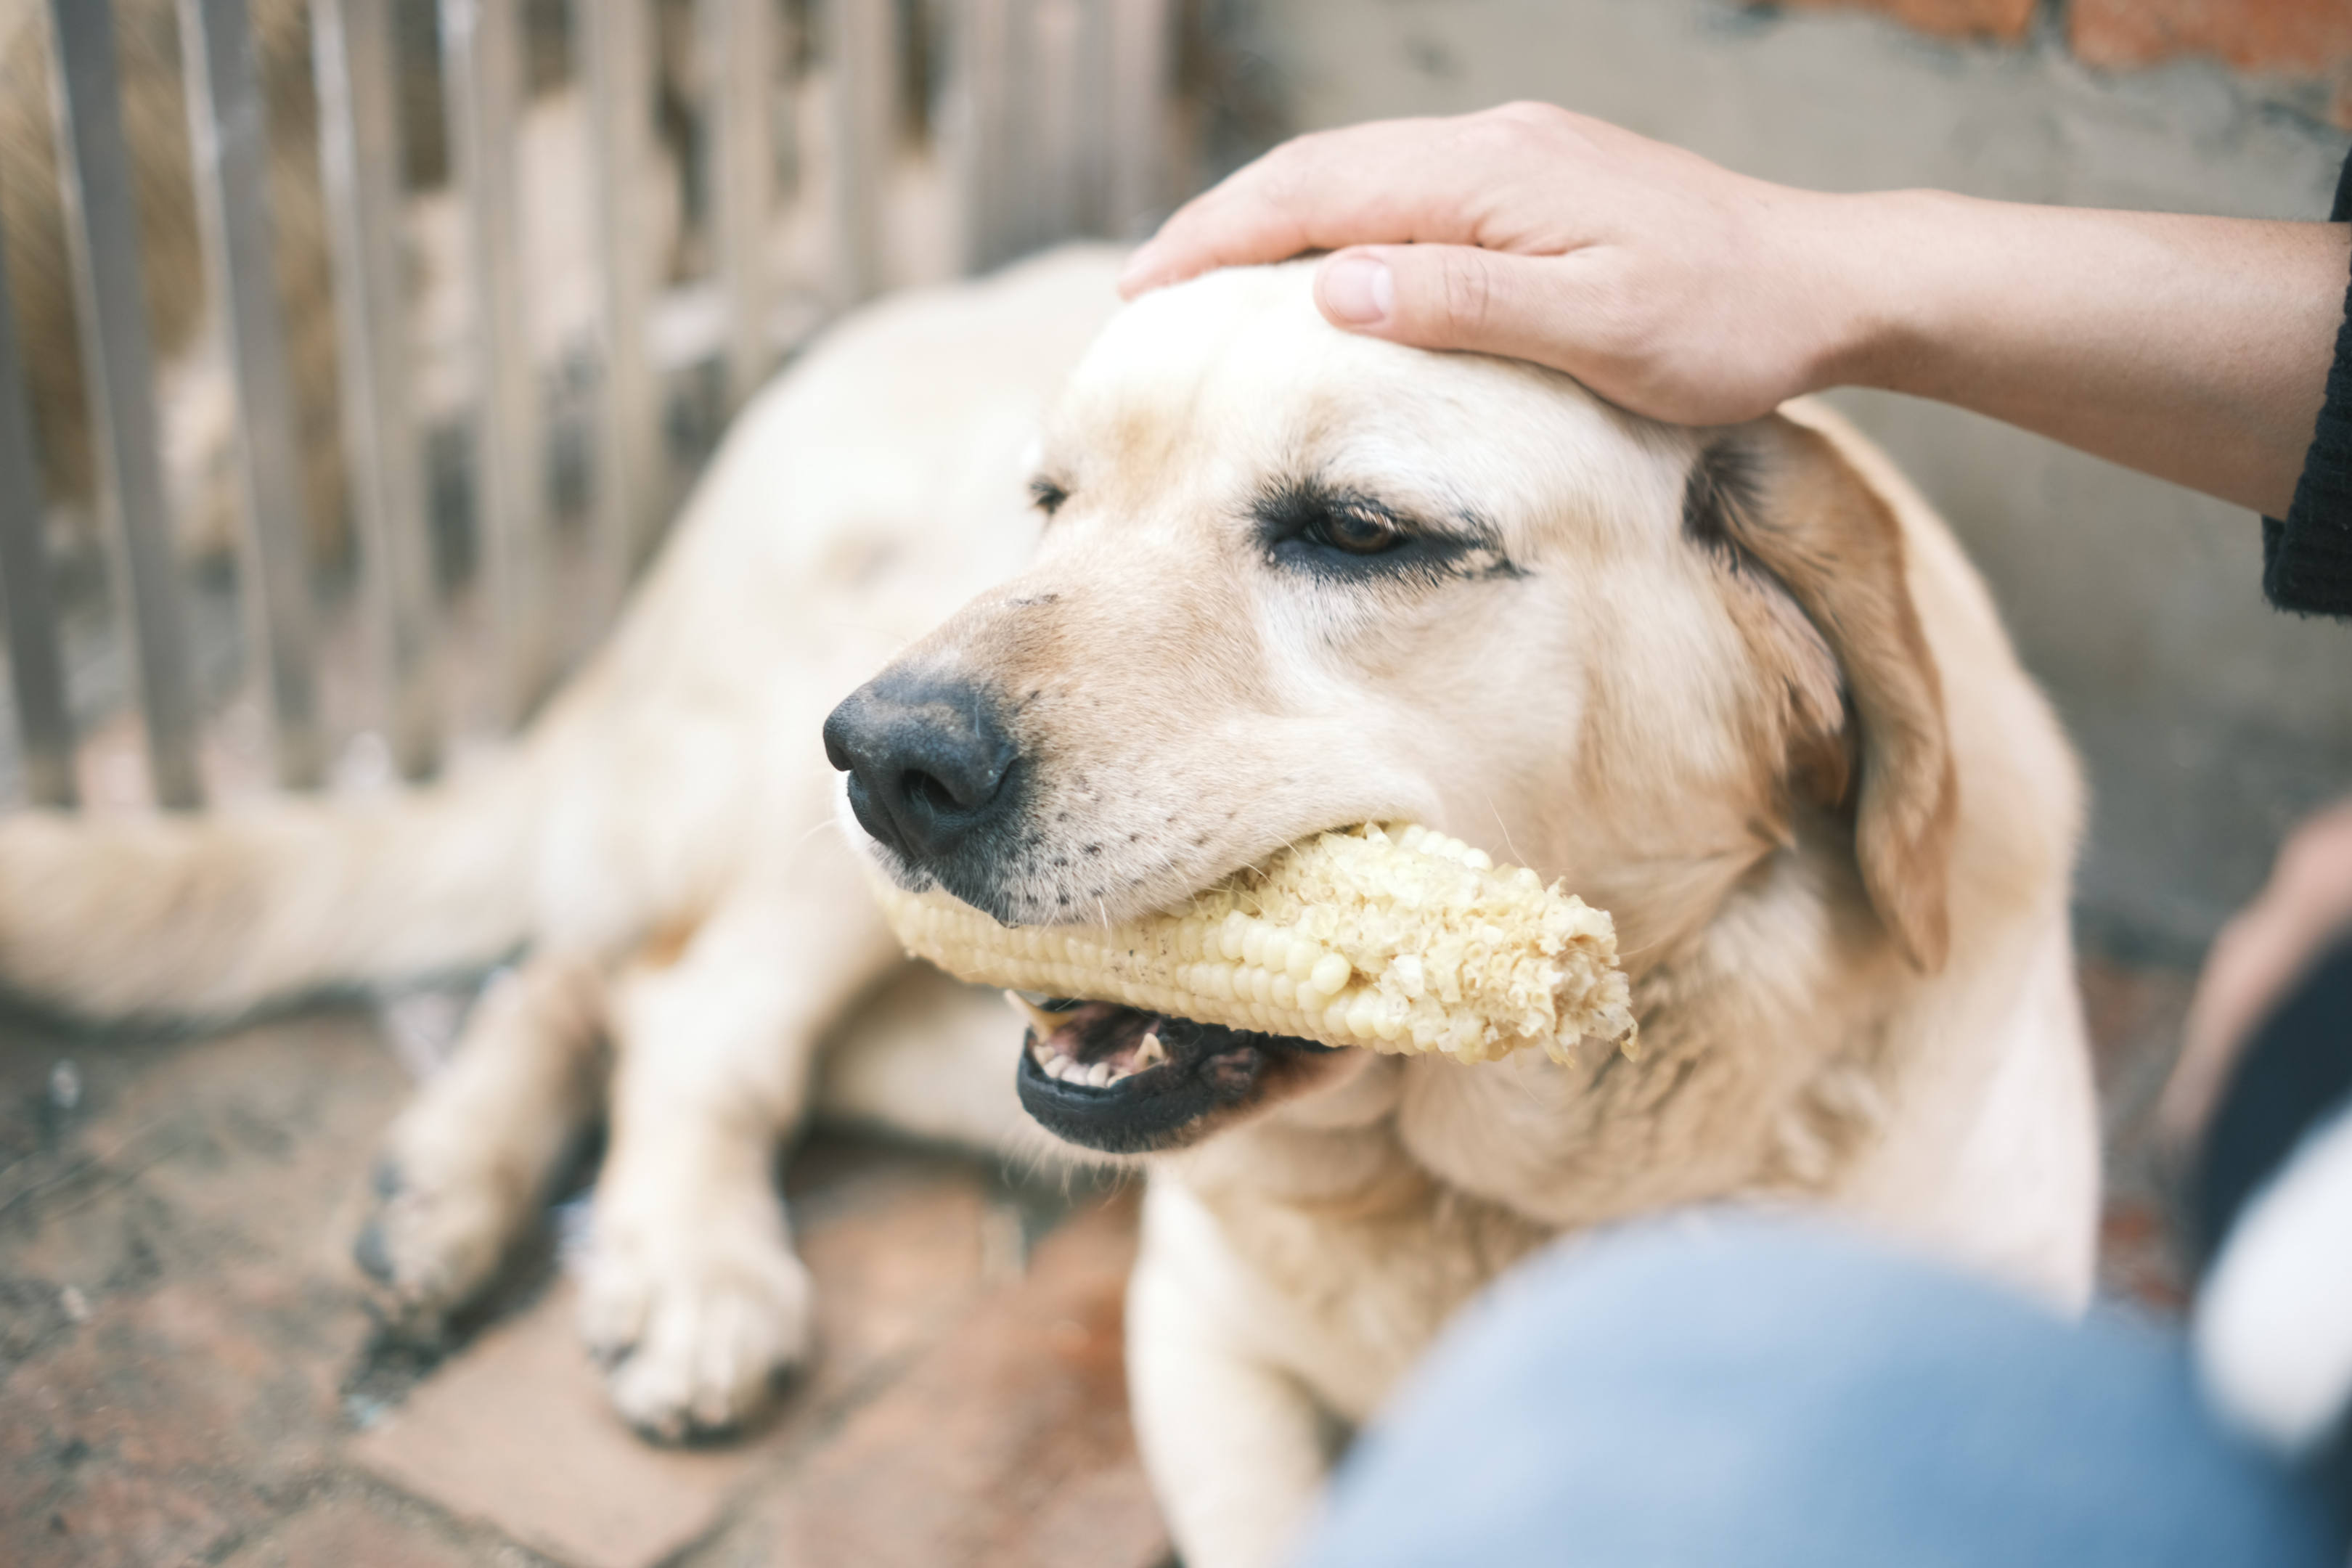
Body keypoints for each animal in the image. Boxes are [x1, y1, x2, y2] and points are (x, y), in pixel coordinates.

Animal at [0, 248, 2088, 1568]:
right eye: (1058, 500)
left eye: (1365, 533)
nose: (888, 759)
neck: (1509, 1194)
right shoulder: (1201, 1349)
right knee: (691, 1007)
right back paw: (675, 1263)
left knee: (601, 971)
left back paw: (451, 1186)